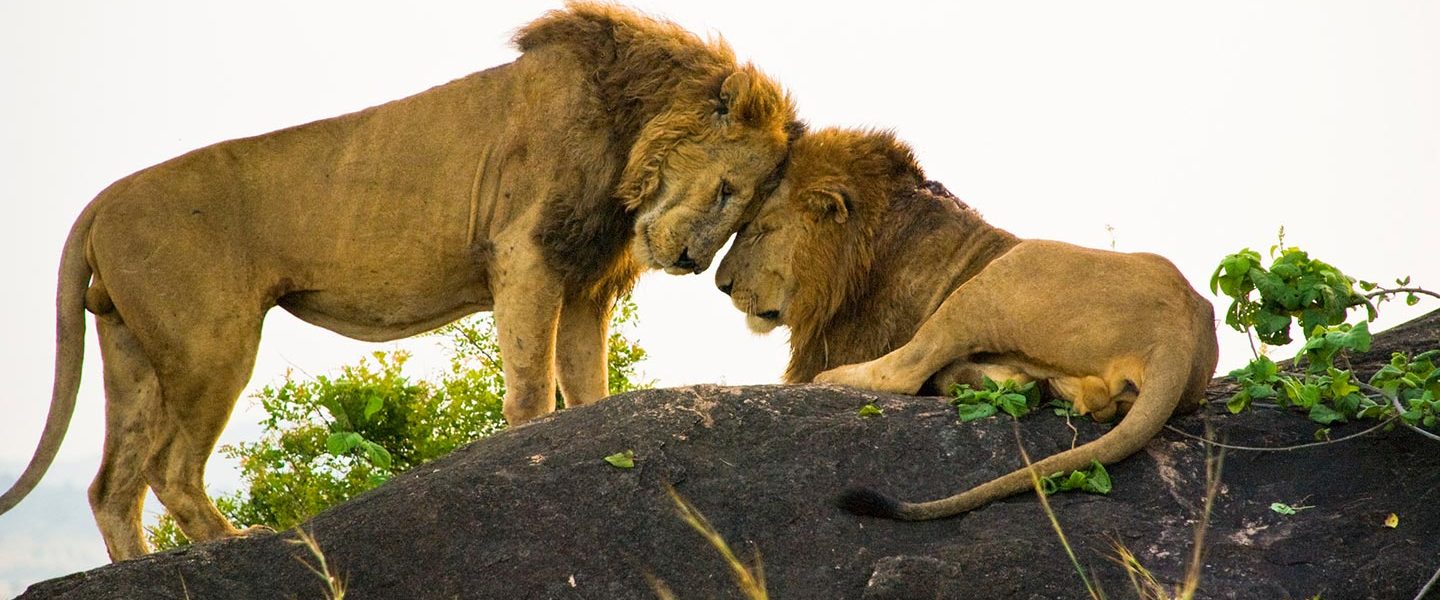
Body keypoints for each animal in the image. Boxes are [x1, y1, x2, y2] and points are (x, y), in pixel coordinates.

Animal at [0, 2, 800, 558]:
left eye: (751, 210)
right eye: (728, 190)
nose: (692, 262)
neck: (629, 127)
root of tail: (101, 201)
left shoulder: (585, 283)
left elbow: (587, 385)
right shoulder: (525, 255)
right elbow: (532, 388)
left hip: (131, 351)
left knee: (112, 486)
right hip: (212, 344)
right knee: (168, 470)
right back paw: (235, 542)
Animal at [720, 127, 1215, 517]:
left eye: (761, 230)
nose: (722, 284)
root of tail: (1179, 333)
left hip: (998, 277)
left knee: (904, 372)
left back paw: (837, 378)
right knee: (1072, 396)